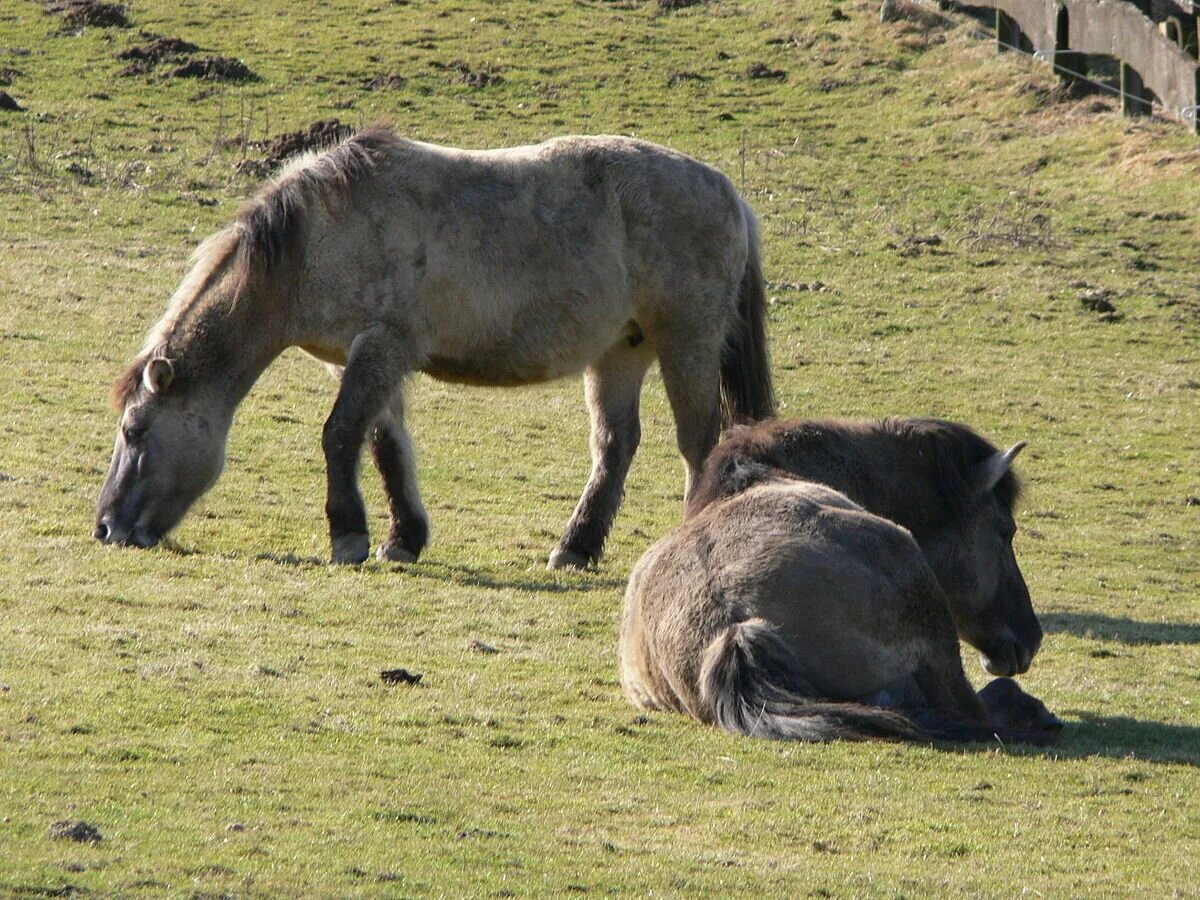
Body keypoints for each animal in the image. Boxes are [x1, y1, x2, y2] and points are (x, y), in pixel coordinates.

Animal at [88, 128, 772, 564]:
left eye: (135, 431)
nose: (106, 527)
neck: (314, 242)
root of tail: (729, 193)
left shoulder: (380, 348)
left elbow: (340, 436)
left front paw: (348, 538)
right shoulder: (371, 361)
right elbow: (386, 448)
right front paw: (403, 540)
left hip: (686, 343)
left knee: (700, 444)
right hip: (620, 353)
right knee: (615, 446)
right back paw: (573, 549)